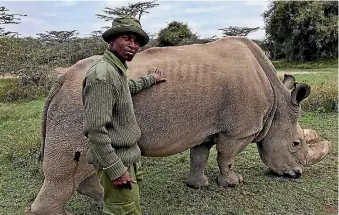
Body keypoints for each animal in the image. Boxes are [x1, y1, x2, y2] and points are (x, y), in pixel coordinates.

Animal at [30, 37, 330, 215]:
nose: (296, 174)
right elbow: (227, 157)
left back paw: (108, 200)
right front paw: (232, 182)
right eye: (296, 144)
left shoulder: (206, 127)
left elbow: (200, 155)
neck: (277, 104)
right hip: (77, 107)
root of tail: (61, 80)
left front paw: (198, 185)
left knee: (89, 166)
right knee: (66, 174)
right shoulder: (238, 131)